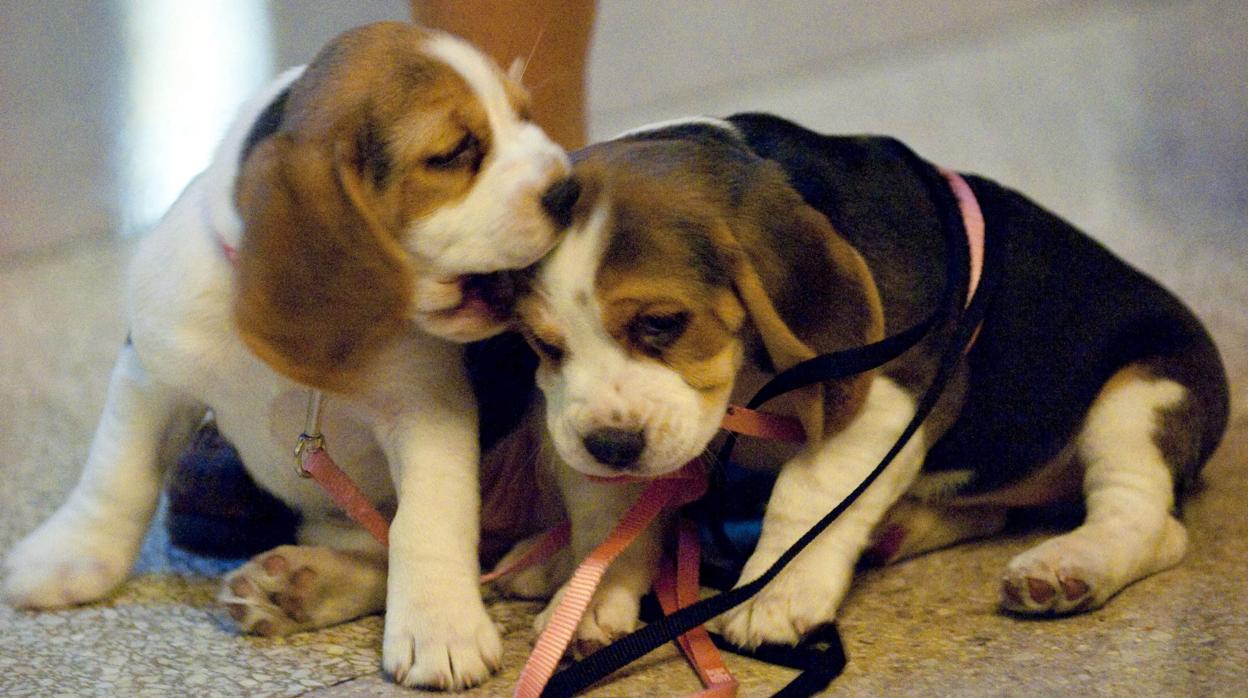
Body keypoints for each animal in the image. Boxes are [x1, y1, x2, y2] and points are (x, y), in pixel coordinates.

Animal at [3, 23, 579, 694]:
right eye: (454, 152)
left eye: (526, 116)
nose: (570, 188)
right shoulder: (152, 373)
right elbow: (115, 475)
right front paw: (68, 556)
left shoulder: (427, 412)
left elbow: (426, 522)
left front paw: (441, 627)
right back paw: (298, 590)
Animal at [504, 116, 1228, 654]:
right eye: (543, 345)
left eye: (662, 323)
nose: (610, 448)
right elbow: (613, 518)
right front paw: (588, 594)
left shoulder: (886, 397)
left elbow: (807, 495)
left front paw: (777, 590)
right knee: (991, 508)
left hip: (1144, 393)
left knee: (1146, 518)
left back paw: (1069, 566)